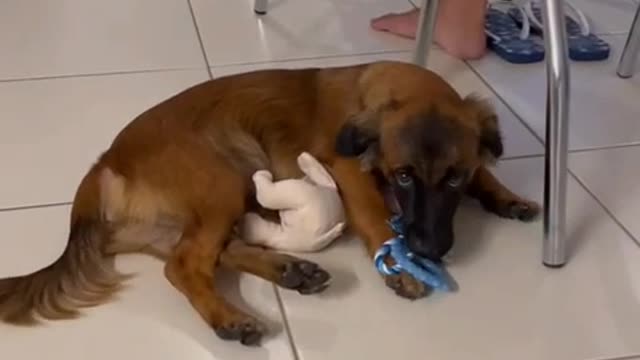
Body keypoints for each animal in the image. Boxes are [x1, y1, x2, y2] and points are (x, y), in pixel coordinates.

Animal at [0, 61, 540, 346]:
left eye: (454, 178)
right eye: (403, 176)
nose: (427, 250)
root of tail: (104, 165)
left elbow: (486, 168)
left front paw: (507, 196)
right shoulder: (346, 170)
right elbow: (372, 213)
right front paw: (398, 264)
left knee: (214, 251)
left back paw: (290, 271)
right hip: (223, 178)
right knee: (185, 265)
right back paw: (229, 316)